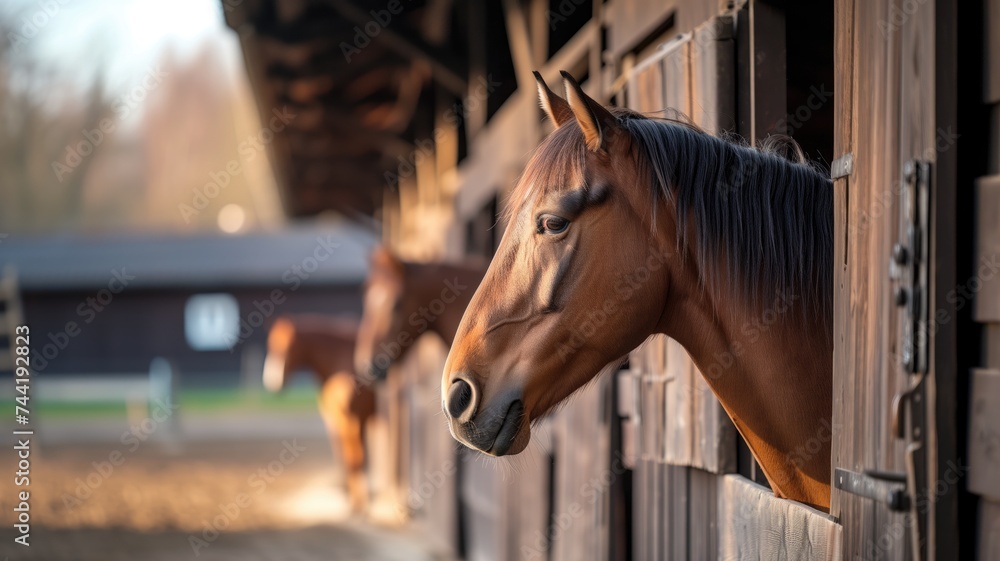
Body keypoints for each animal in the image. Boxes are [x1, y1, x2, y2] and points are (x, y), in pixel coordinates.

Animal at [263, 314, 376, 512]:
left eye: (286, 348)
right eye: (270, 346)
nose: (272, 382)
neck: (339, 361)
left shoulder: (353, 419)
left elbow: (356, 458)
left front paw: (359, 501)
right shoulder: (336, 420)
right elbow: (346, 456)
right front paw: (351, 494)